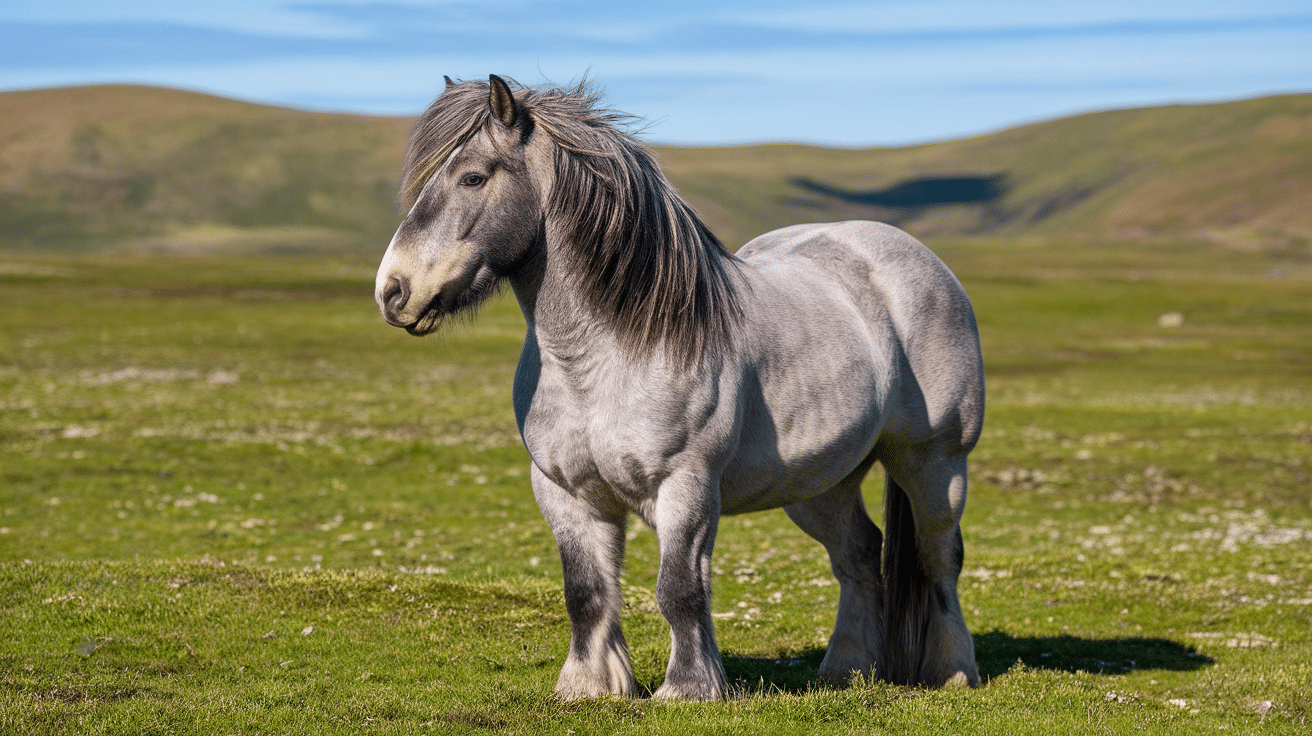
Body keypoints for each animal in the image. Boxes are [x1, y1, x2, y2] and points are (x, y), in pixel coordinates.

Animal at [375, 74, 981, 697]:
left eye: (473, 176)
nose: (393, 292)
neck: (600, 360)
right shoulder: (564, 492)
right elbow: (586, 592)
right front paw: (589, 686)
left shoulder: (684, 486)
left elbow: (680, 591)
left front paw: (688, 688)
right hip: (821, 482)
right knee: (858, 555)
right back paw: (848, 668)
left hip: (934, 463)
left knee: (940, 558)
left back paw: (954, 671)